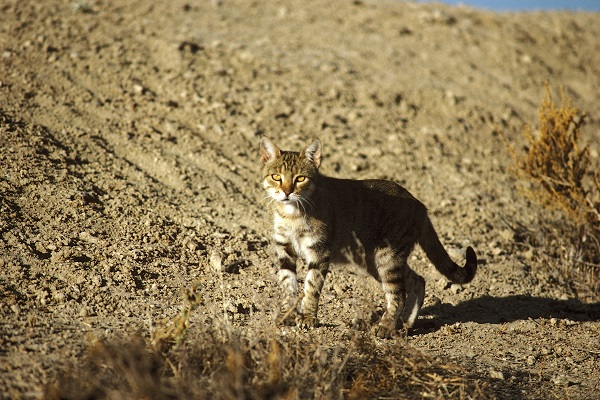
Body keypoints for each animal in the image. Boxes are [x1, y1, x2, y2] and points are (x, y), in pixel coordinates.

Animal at [260, 135, 476, 338]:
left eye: (300, 178)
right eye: (276, 176)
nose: (286, 192)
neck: (291, 214)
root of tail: (421, 206)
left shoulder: (319, 251)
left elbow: (311, 286)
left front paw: (307, 317)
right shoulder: (284, 248)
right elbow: (287, 284)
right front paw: (287, 315)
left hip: (387, 257)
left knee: (398, 293)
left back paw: (386, 326)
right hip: (375, 261)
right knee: (417, 280)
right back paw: (406, 323)